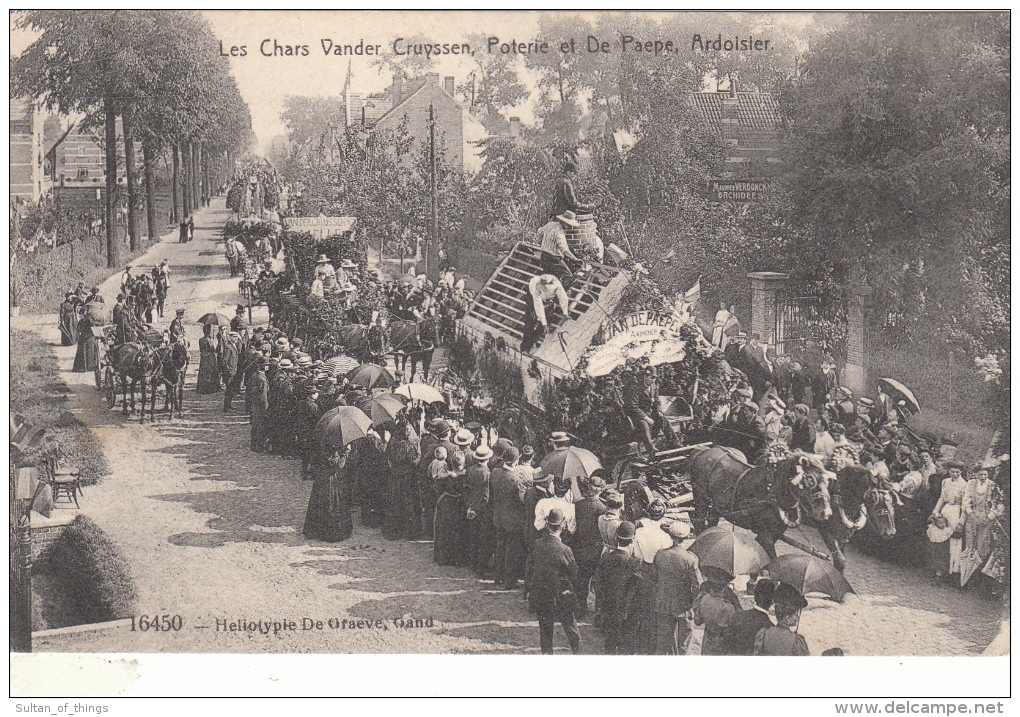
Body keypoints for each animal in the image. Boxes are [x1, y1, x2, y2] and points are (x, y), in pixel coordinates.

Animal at [685, 446, 836, 562]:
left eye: (827, 480)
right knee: (699, 521)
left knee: (711, 523)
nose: (826, 512)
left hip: (717, 505)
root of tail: (704, 450)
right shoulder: (765, 535)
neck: (772, 494)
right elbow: (773, 560)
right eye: (810, 481)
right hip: (700, 496)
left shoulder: (774, 534)